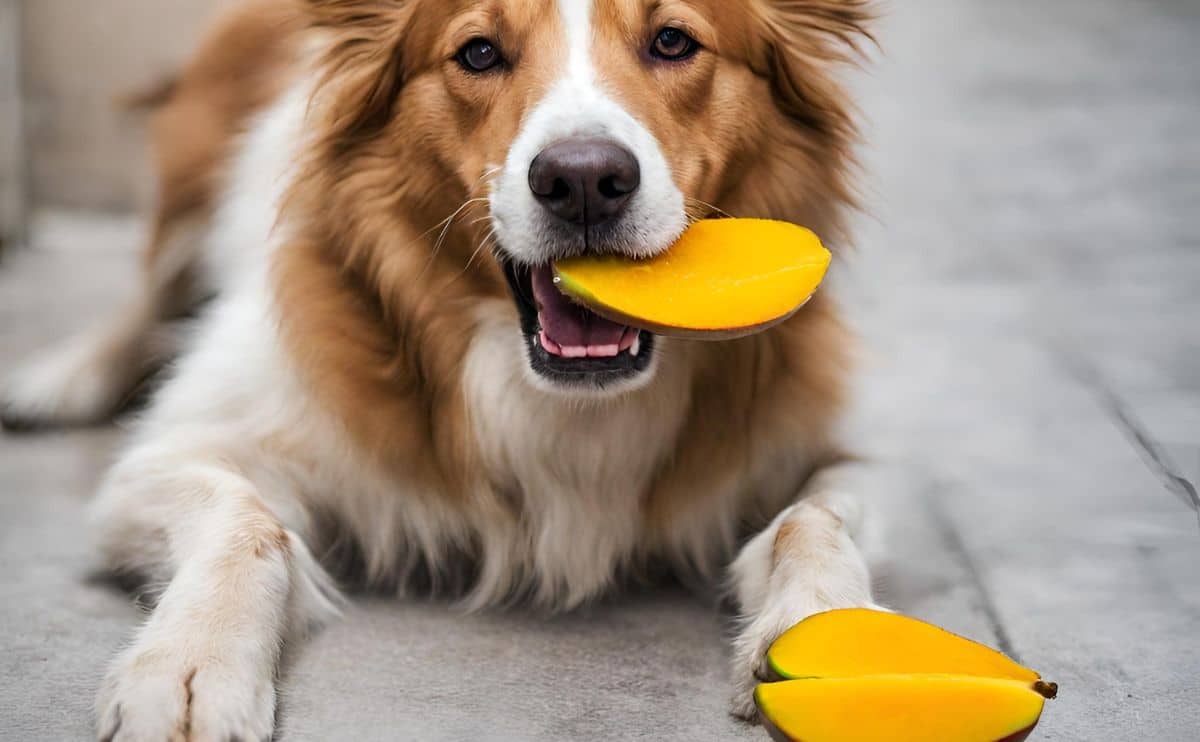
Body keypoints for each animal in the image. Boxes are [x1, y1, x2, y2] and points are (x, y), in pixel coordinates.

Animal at [0, 0, 883, 734]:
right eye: (480, 52)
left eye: (672, 41)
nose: (584, 181)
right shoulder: (172, 454)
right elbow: (247, 526)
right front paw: (189, 668)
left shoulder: (838, 440)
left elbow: (815, 516)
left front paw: (827, 637)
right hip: (188, 182)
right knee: (146, 297)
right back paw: (56, 381)